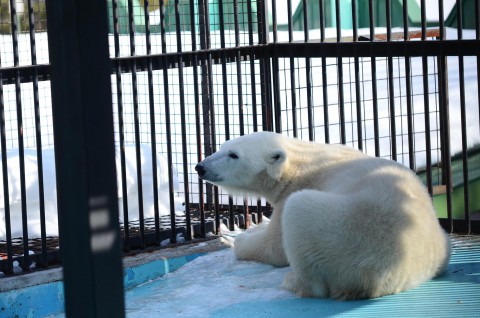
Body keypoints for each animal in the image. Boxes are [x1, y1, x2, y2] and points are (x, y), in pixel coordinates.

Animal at [194, 132, 450, 300]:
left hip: (342, 231)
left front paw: (237, 237)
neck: (301, 160)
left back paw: (293, 281)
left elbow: (274, 247)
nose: (200, 167)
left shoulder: (294, 189)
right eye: (222, 146)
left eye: (233, 155)